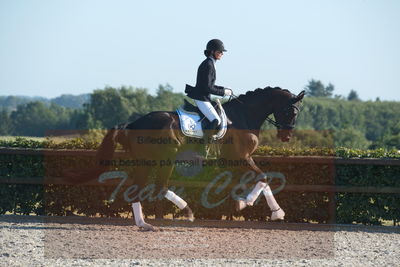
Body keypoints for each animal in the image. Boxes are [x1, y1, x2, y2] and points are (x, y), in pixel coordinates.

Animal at [70, 87, 304, 231]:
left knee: (139, 188)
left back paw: (144, 224)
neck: (243, 115)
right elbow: (263, 178)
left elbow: (258, 180)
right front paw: (251, 204)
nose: (286, 136)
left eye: (296, 113)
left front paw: (271, 211)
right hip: (166, 160)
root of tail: (133, 124)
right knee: (159, 187)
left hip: (145, 162)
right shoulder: (241, 158)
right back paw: (187, 212)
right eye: (290, 112)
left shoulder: (236, 161)